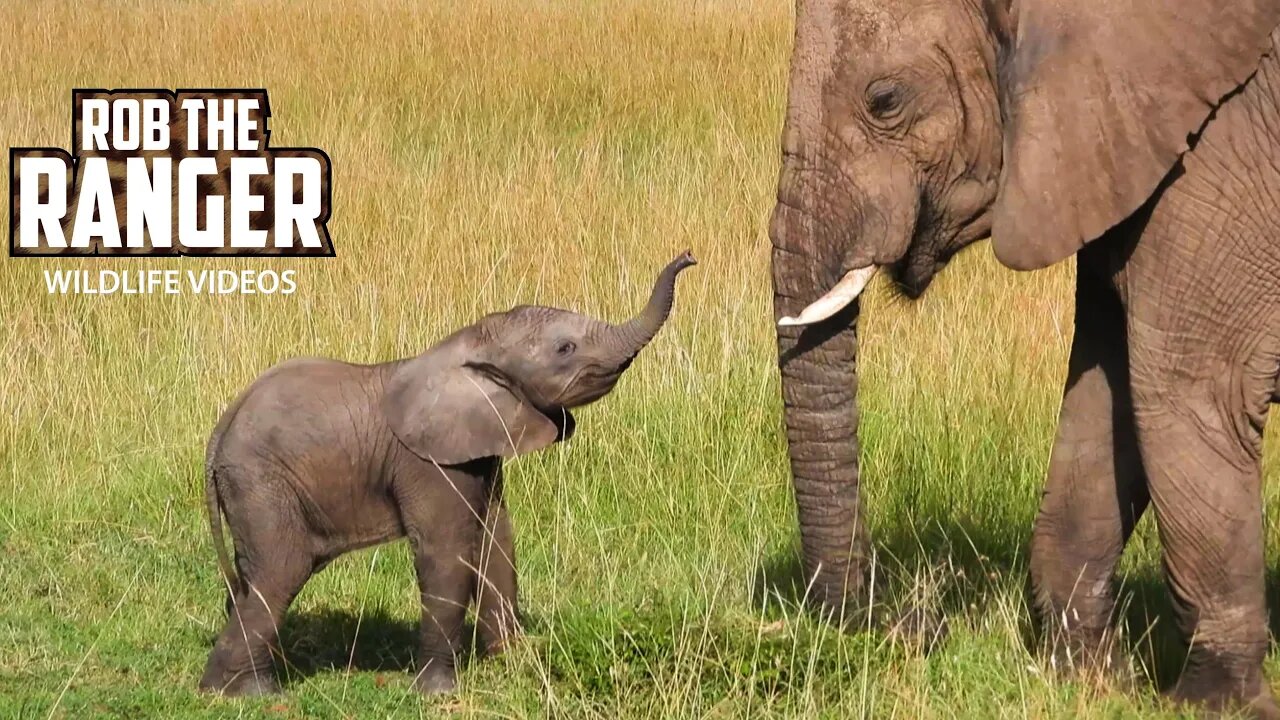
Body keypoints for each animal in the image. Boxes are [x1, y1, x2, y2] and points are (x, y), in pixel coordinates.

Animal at [195, 249, 696, 691]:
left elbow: (497, 542)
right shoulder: (427, 461)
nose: (688, 257)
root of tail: (220, 430)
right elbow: (448, 551)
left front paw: (513, 664)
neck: (468, 345)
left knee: (253, 576)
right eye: (565, 348)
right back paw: (242, 694)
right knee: (282, 569)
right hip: (261, 480)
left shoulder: (481, 446)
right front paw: (439, 691)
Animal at [768, 0, 1280, 707]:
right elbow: (1107, 392)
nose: (912, 622)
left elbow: (1190, 393)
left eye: (885, 100)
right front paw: (1087, 679)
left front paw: (1212, 704)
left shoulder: (1222, 150)